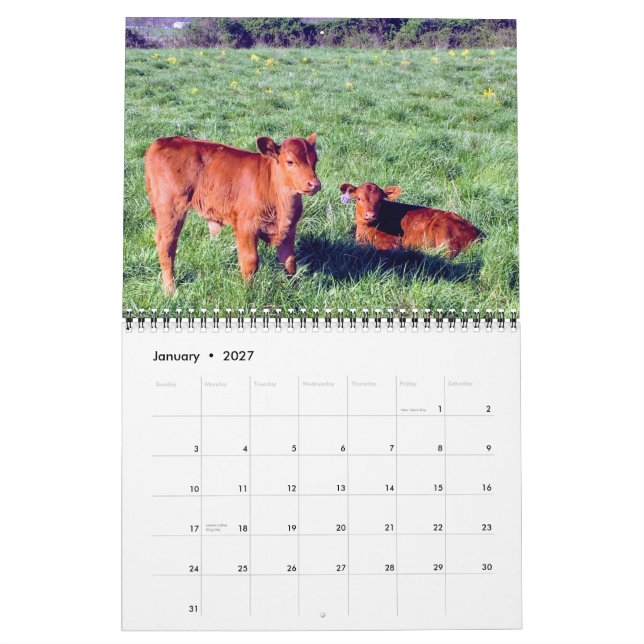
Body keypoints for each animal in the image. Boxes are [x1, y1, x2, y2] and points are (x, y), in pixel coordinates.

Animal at [144, 133, 320, 293]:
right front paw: (248, 292)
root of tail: (164, 141)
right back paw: (170, 290)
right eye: (290, 162)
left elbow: (289, 262)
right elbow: (250, 261)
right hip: (170, 209)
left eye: (315, 161)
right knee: (167, 244)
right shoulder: (245, 227)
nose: (315, 184)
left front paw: (294, 290)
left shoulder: (288, 230)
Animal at [339, 182, 483, 257]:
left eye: (380, 200)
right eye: (359, 198)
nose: (370, 215)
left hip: (444, 231)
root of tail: (478, 232)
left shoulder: (391, 243)